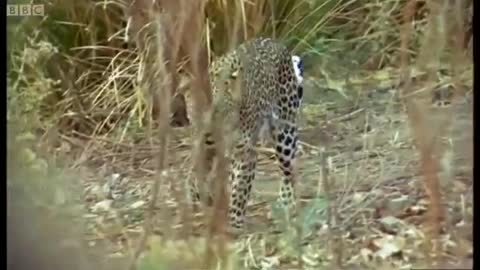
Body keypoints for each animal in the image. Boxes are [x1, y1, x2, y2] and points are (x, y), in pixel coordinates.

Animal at [185, 36, 304, 230]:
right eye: (198, 111)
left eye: (219, 111)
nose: (208, 134)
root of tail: (276, 43)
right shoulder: (203, 148)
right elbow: (198, 173)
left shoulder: (245, 151)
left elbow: (240, 186)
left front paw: (235, 221)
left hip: (284, 132)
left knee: (288, 169)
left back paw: (285, 203)